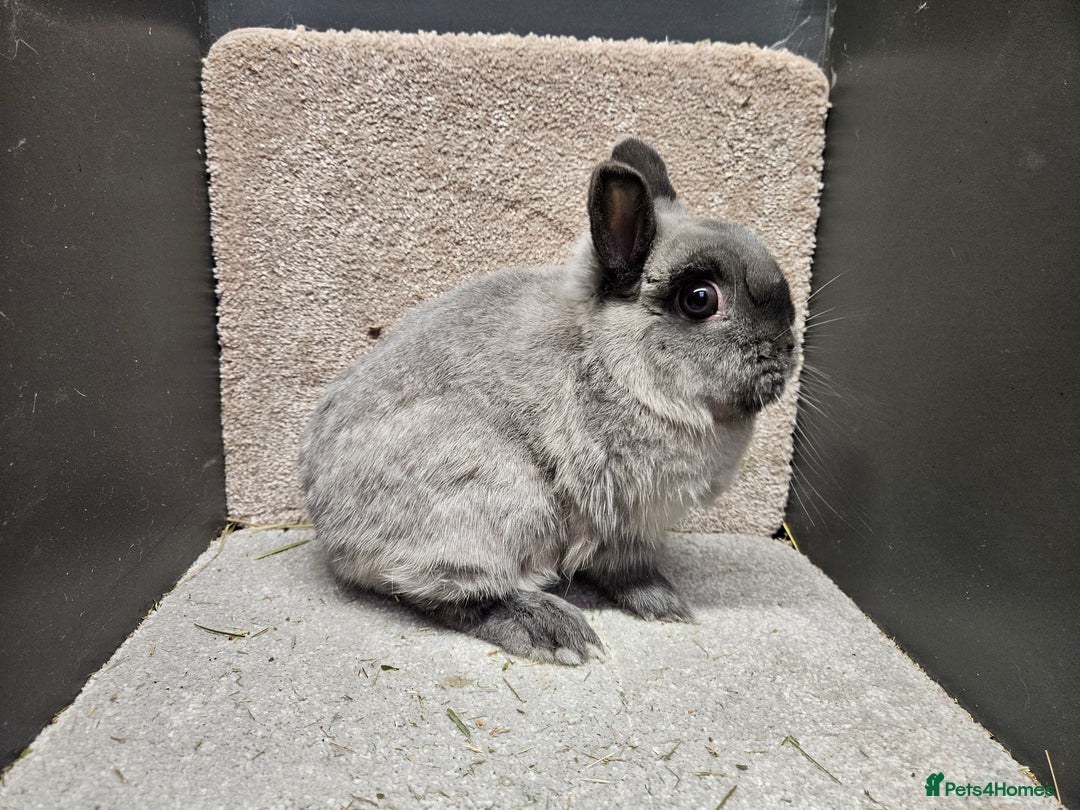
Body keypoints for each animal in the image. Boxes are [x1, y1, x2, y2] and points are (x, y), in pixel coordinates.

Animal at [299, 138, 795, 665]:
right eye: (700, 299)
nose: (788, 350)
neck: (612, 360)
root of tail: (329, 526)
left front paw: (667, 606)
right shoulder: (623, 519)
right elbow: (627, 570)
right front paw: (664, 604)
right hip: (497, 504)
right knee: (455, 594)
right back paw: (555, 632)